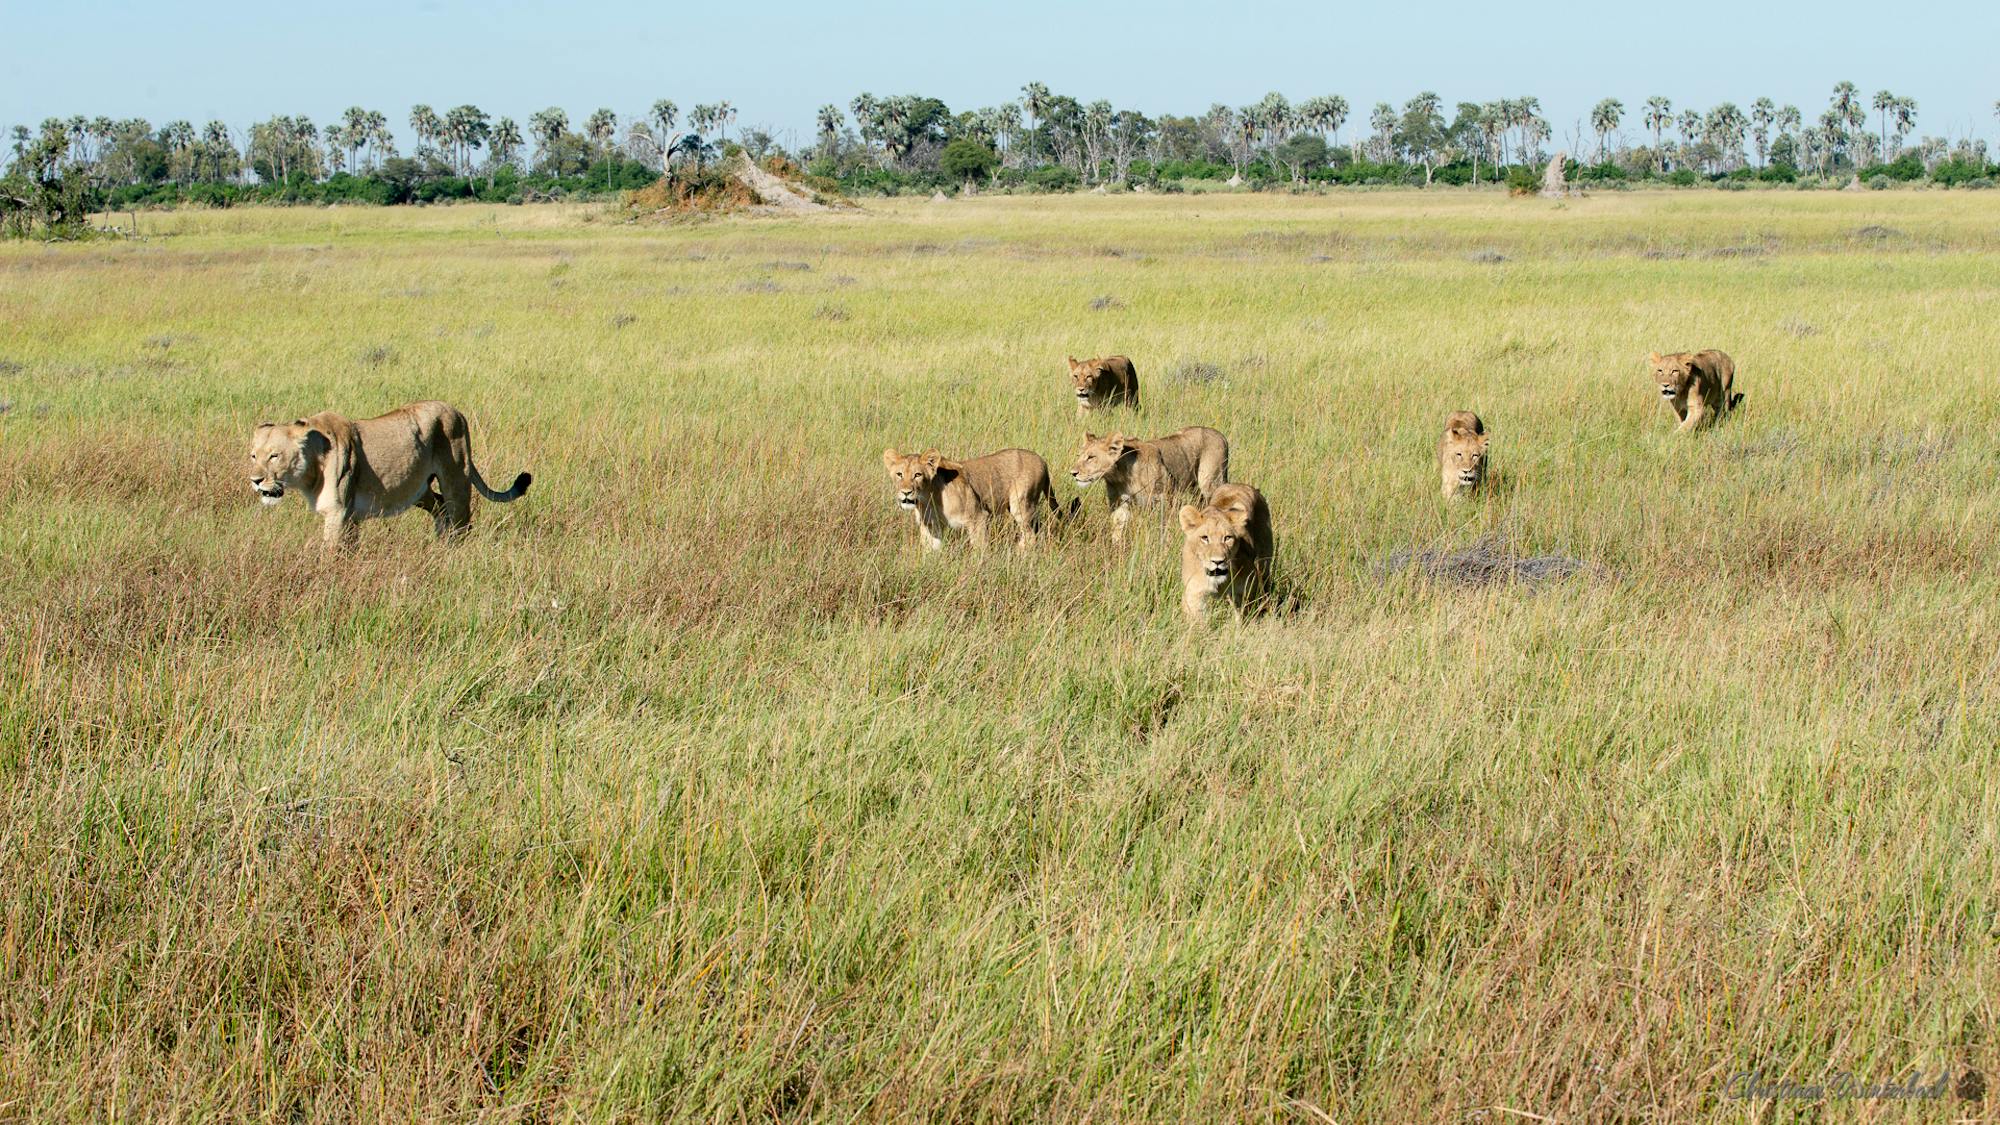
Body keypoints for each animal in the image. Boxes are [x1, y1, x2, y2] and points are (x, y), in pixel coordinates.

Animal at [248, 400, 532, 548]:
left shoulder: (339, 512)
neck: (310, 471)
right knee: (441, 508)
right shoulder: (351, 515)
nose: (255, 480)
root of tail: (457, 411)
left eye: (274, 456)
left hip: (456, 477)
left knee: (460, 517)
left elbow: (331, 553)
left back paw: (453, 551)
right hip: (418, 488)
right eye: (253, 456)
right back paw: (439, 544)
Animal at [880, 446, 1064, 552]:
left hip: (1022, 504)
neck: (929, 500)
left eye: (918, 475)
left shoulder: (978, 518)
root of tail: (1042, 460)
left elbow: (980, 550)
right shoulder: (931, 526)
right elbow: (931, 551)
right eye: (899, 474)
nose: (905, 492)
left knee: (1031, 536)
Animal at [1072, 424, 1224, 540]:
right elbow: (1118, 526)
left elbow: (1163, 526)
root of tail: (1220, 434)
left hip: (1211, 482)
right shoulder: (1120, 503)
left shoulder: (1164, 498)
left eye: (1091, 457)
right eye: (1079, 456)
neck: (1120, 477)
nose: (1073, 473)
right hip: (1194, 487)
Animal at [1176, 482, 1272, 620]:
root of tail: (1240, 484)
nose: (1218, 561)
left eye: (1227, 538)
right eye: (1205, 538)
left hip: (1263, 565)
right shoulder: (1194, 593)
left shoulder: (1243, 591)